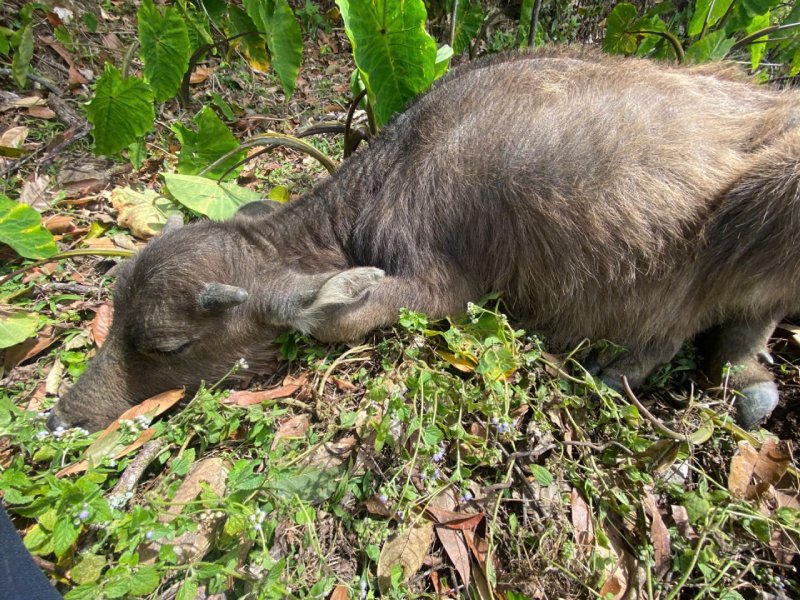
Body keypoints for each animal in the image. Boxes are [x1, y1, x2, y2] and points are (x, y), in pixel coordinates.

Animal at [48, 47, 800, 432]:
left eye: (168, 347)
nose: (60, 418)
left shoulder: (443, 285)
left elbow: (335, 318)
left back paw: (629, 365)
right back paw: (743, 382)